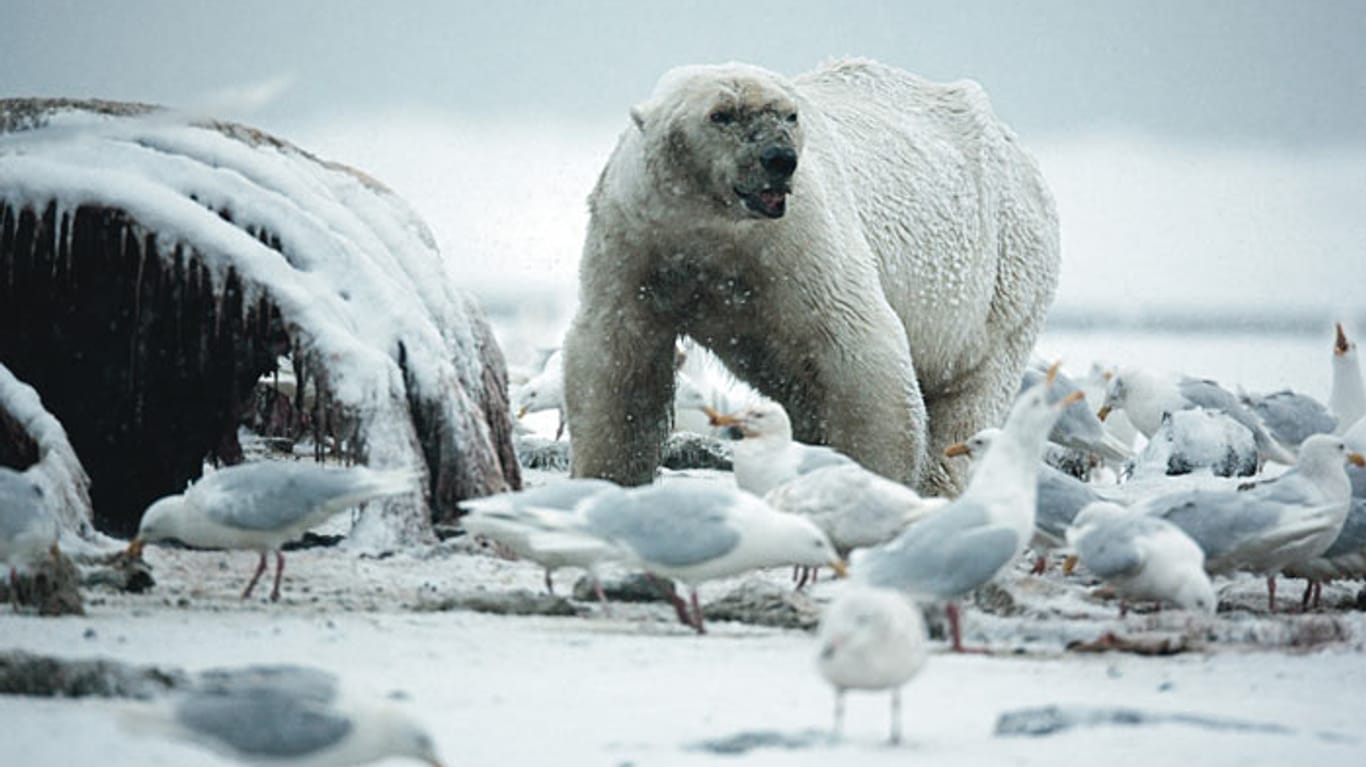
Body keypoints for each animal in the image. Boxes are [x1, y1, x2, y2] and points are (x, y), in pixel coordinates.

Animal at [560, 56, 1060, 492]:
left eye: (790, 115)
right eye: (721, 114)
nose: (778, 158)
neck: (715, 231)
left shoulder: (802, 243)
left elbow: (863, 351)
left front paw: (870, 477)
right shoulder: (637, 244)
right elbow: (619, 366)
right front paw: (606, 480)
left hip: (1000, 283)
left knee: (965, 401)